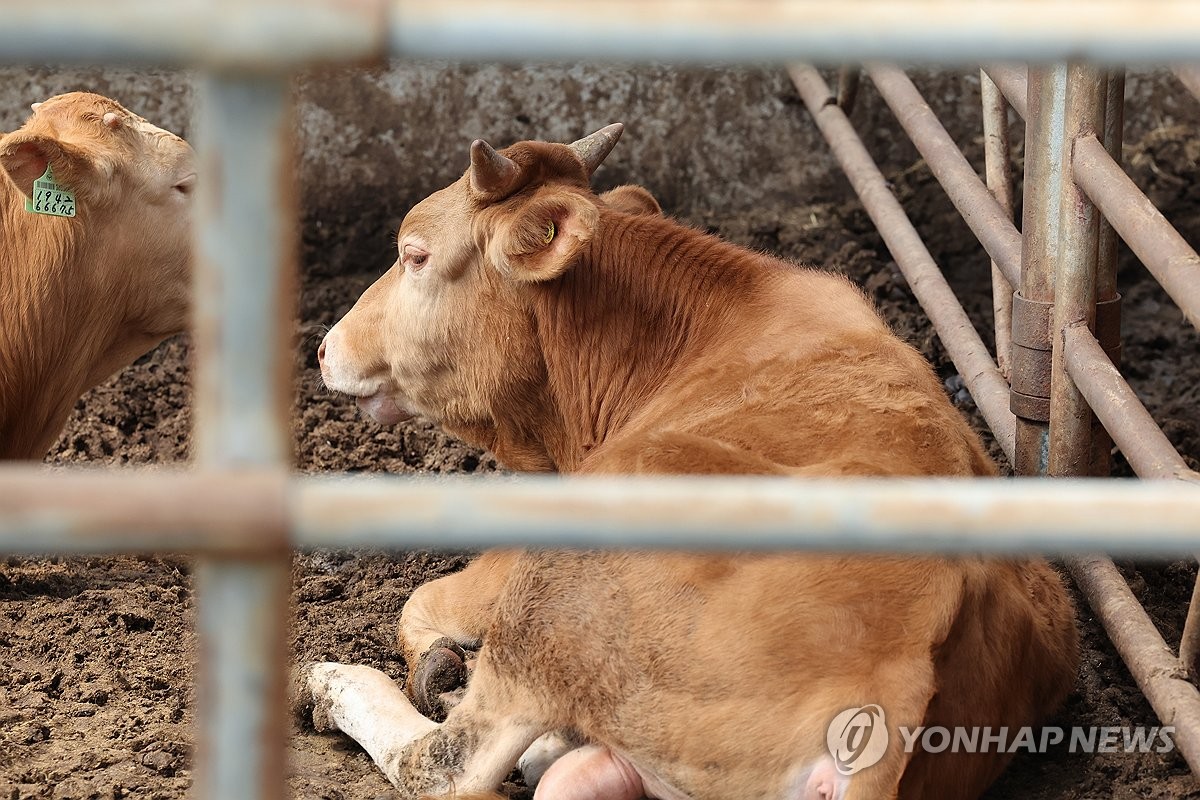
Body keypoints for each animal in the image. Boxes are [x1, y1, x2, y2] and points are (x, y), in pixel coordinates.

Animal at [307, 125, 1080, 800]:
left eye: (415, 254)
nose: (323, 346)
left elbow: (420, 605)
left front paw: (439, 665)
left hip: (570, 572)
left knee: (443, 765)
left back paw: (336, 683)